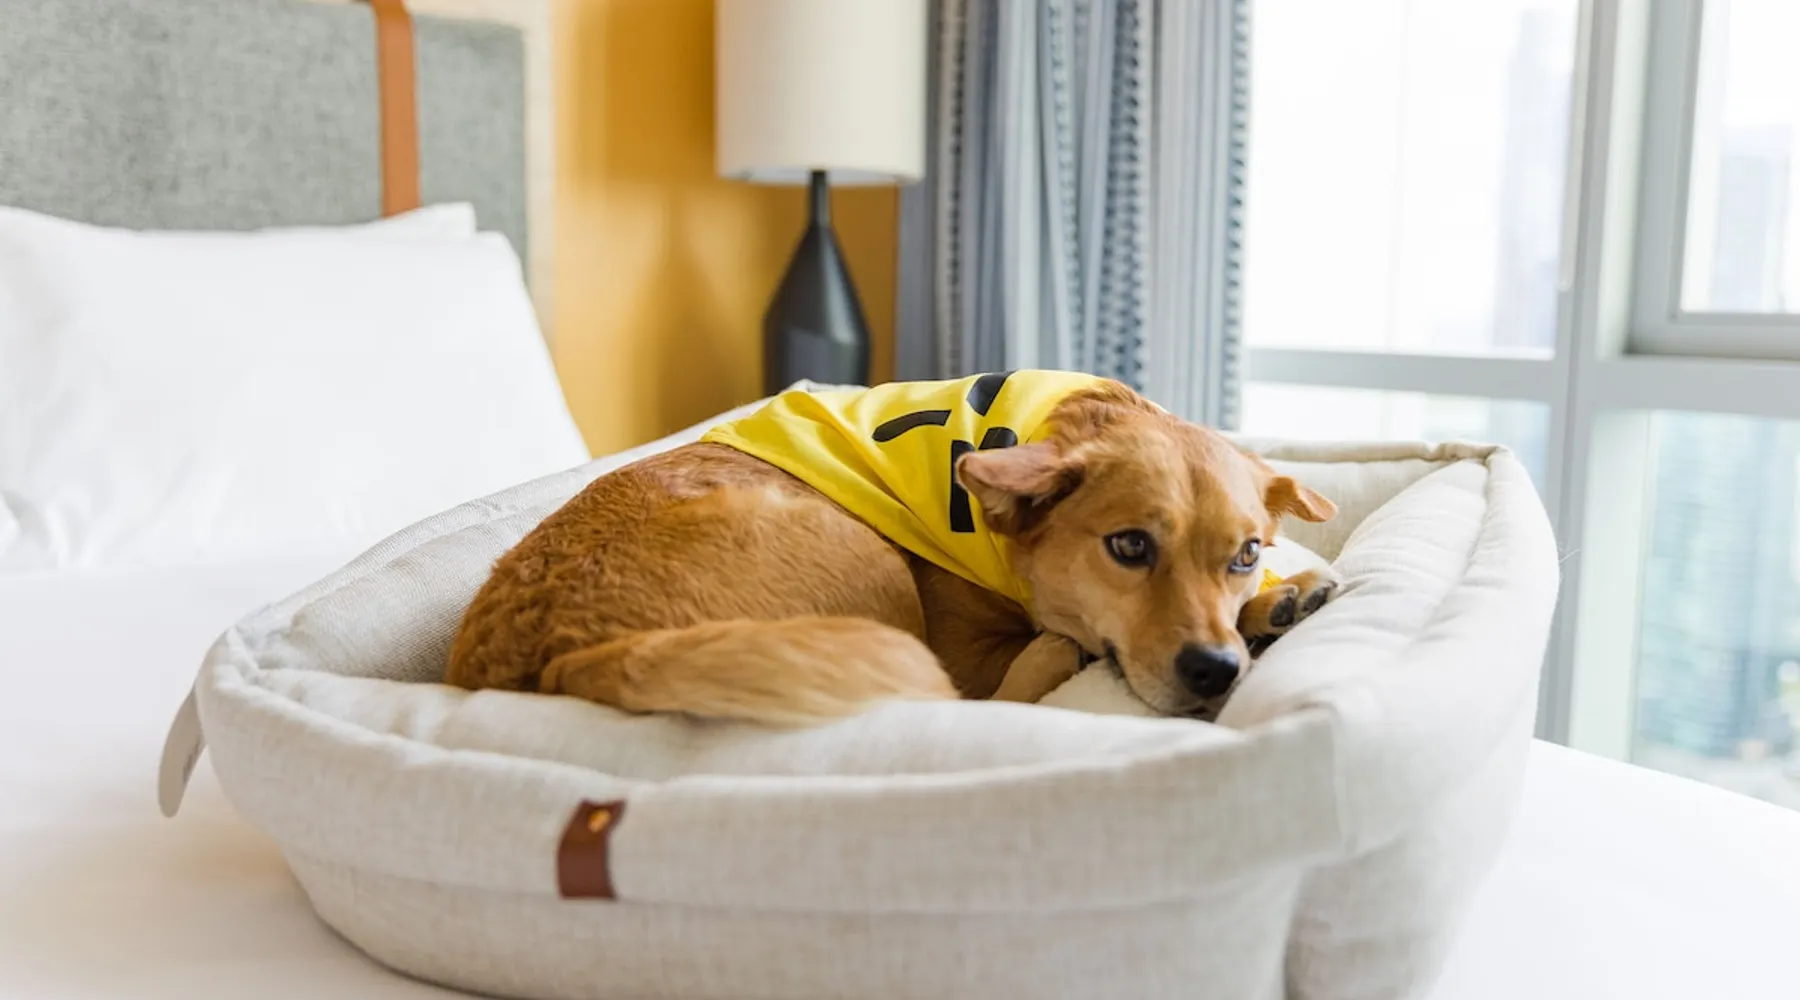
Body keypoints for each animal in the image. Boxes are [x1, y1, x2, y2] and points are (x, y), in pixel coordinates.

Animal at [446, 372, 1338, 723]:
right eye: (1128, 546)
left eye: (1245, 554)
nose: (1214, 672)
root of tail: (565, 655)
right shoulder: (970, 647)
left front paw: (1276, 599)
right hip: (873, 573)